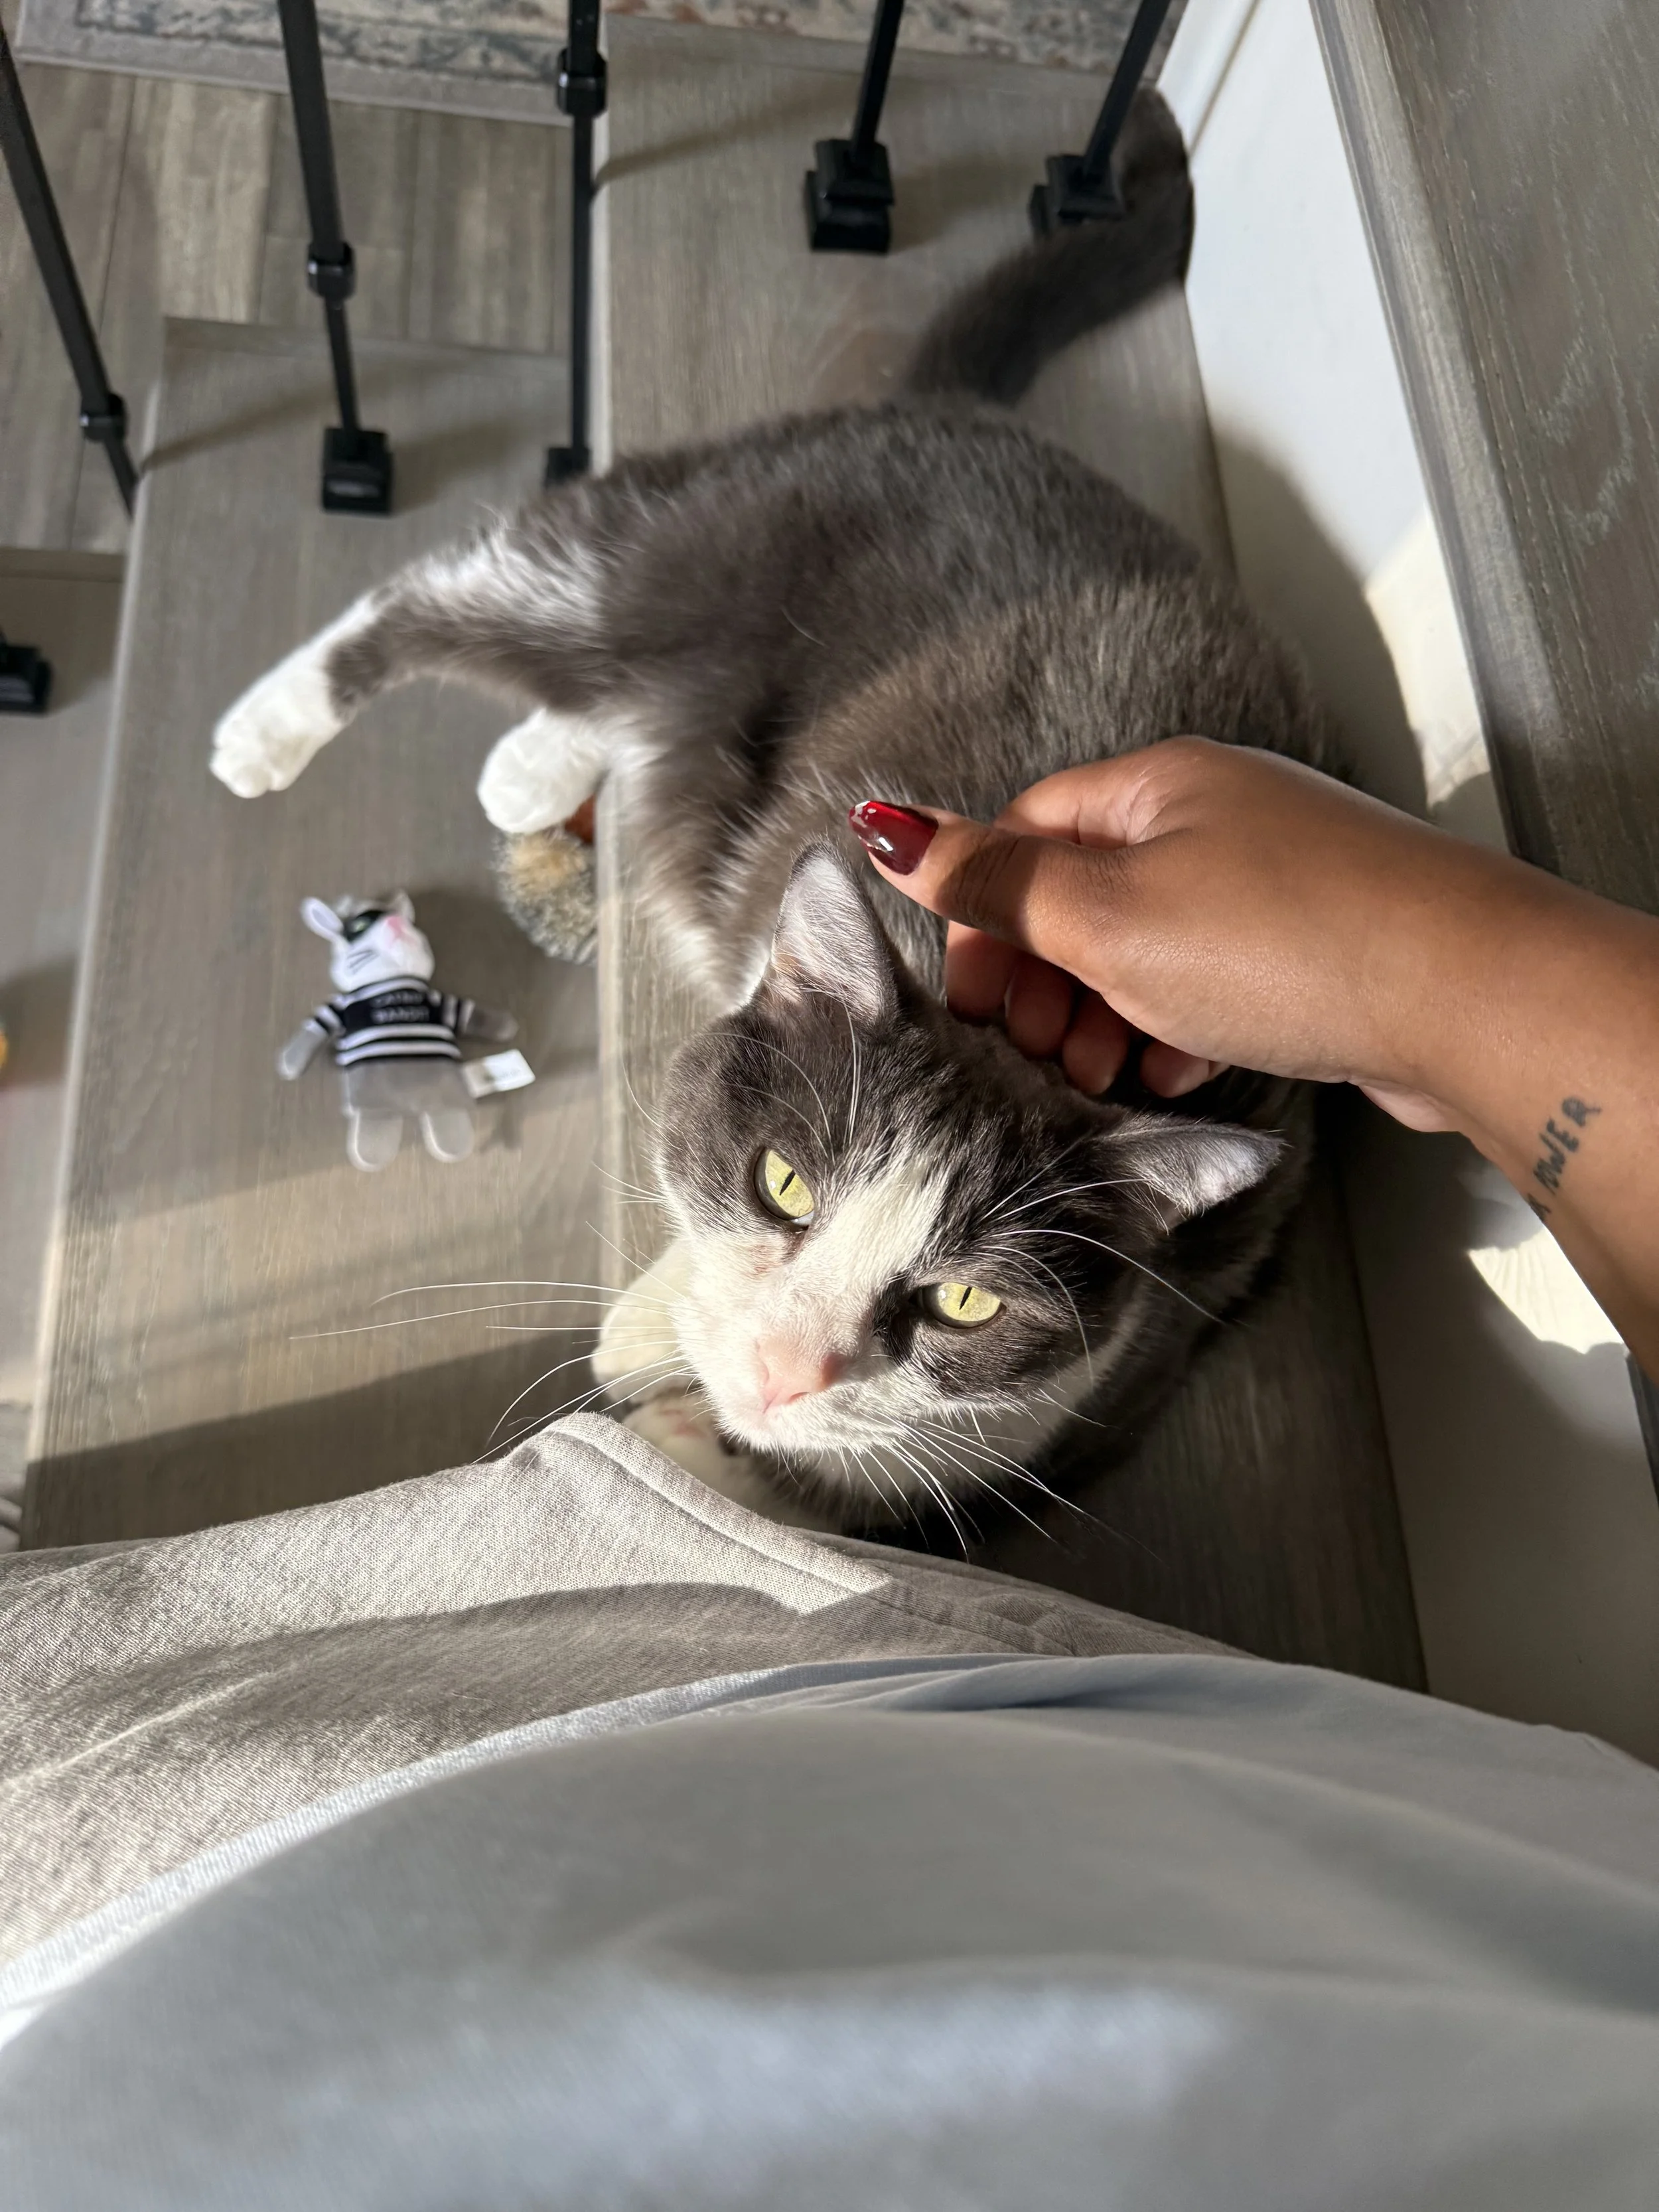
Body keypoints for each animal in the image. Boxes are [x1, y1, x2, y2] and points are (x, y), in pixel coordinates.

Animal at [211, 90, 1338, 1538]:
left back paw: (532, 763)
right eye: (784, 1182)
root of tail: (951, 412)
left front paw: (701, 1420)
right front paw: (648, 1341)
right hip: (692, 558)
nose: (784, 1370)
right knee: (465, 588)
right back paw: (270, 728)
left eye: (966, 1302)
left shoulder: (1089, 1397)